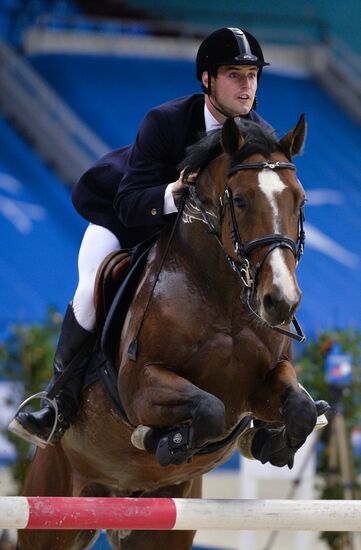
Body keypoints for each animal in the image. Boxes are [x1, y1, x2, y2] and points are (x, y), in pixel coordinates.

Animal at [19, 115, 318, 550]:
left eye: (299, 201)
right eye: (240, 201)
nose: (281, 301)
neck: (224, 298)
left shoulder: (264, 382)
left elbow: (302, 410)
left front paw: (271, 442)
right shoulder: (140, 385)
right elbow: (208, 409)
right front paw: (162, 441)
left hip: (162, 528)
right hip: (52, 510)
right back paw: (47, 418)